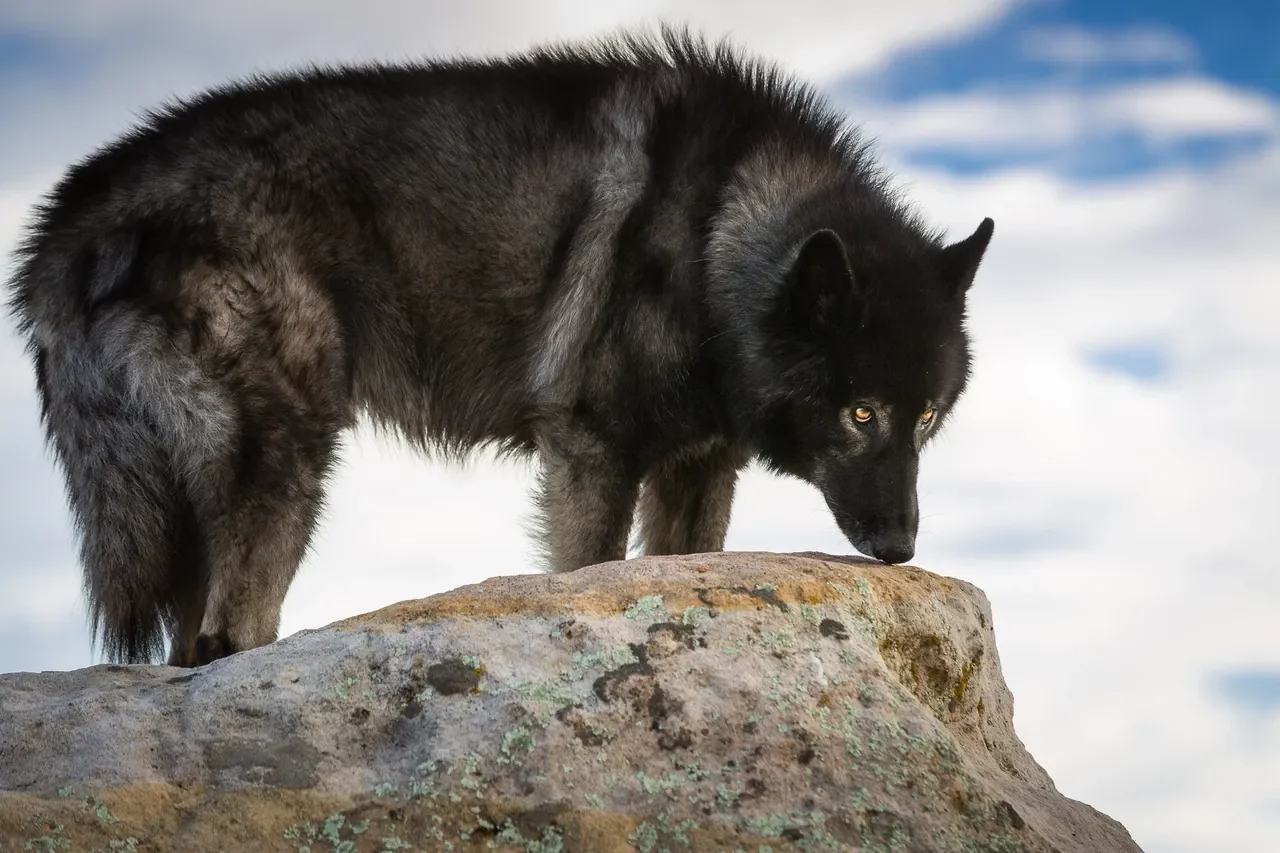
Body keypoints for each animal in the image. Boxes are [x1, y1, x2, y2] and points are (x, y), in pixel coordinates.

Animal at [7, 30, 993, 667]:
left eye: (926, 418)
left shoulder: (698, 466)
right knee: (222, 635)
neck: (714, 231)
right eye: (860, 412)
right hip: (285, 459)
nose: (900, 547)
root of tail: (69, 215)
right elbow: (591, 573)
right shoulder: (590, 453)